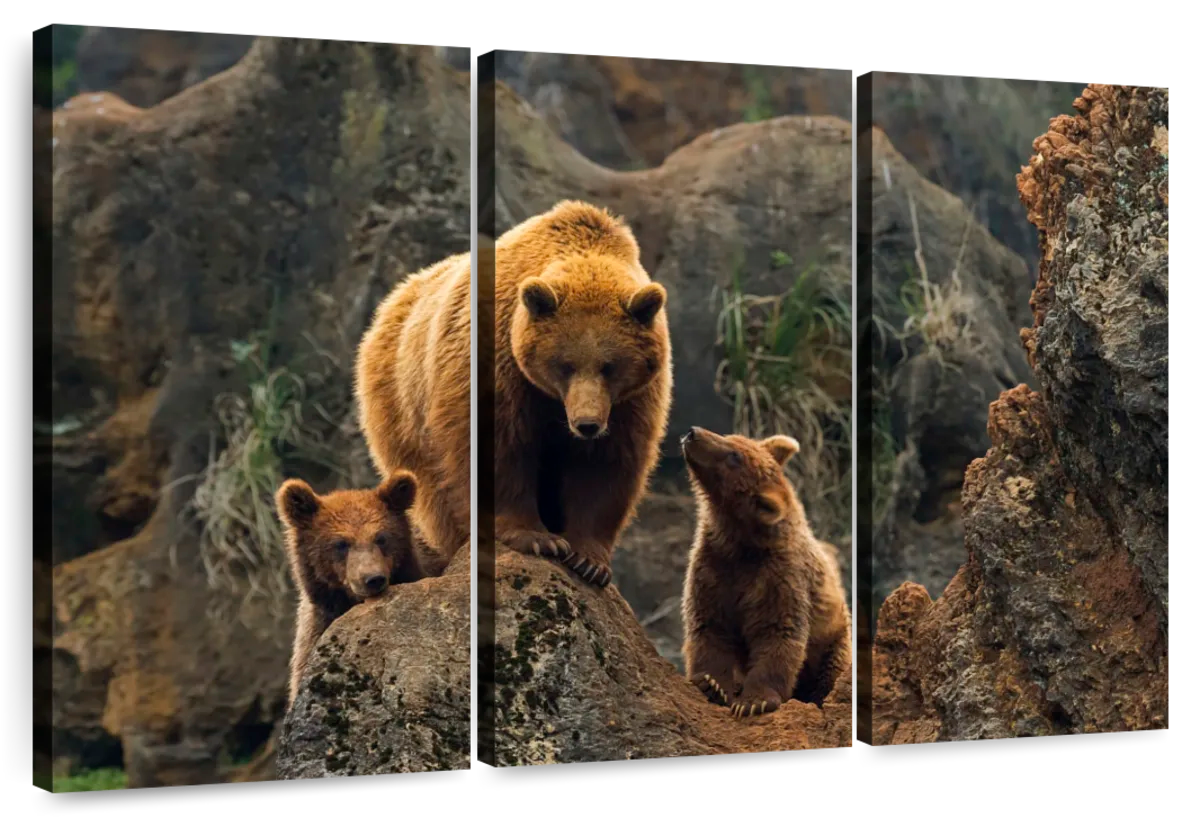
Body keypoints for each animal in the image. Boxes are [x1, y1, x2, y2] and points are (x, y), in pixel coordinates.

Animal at [495, 200, 673, 587]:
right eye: (565, 364)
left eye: (610, 366)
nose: (586, 424)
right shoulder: (507, 374)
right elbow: (507, 445)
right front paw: (539, 539)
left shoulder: (631, 402)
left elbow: (605, 466)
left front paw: (587, 560)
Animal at [679, 426, 851, 717]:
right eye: (731, 438)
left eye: (734, 456)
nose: (693, 433)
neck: (740, 542)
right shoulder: (712, 567)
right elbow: (709, 626)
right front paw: (712, 684)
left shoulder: (779, 578)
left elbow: (778, 634)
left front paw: (753, 702)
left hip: (834, 639)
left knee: (831, 673)